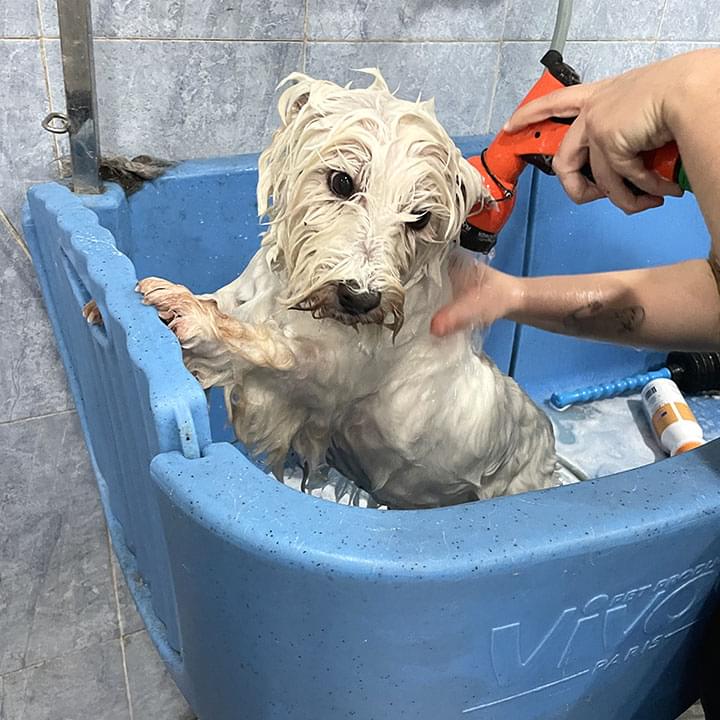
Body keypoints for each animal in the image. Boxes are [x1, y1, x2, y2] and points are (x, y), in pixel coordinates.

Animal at [135, 70, 556, 510]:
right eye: (341, 181)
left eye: (420, 218)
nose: (360, 298)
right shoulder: (251, 294)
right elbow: (224, 304)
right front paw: (177, 300)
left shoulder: (328, 376)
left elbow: (269, 350)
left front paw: (195, 321)